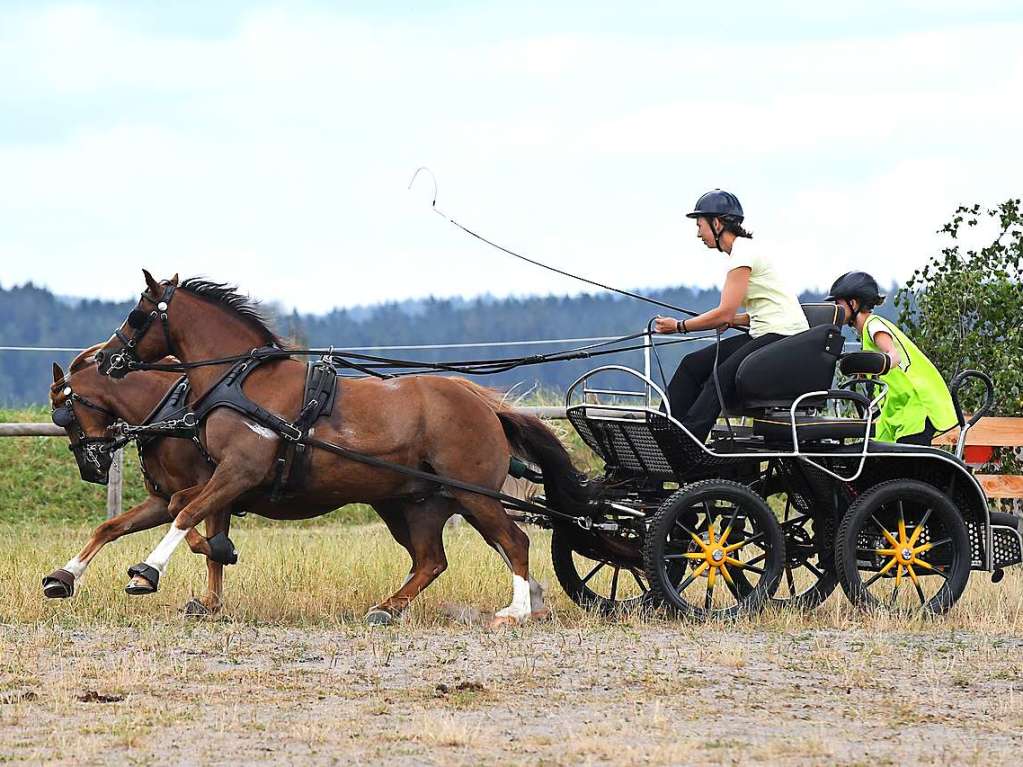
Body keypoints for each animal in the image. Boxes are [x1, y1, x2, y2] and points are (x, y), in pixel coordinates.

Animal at [96, 274, 593, 625]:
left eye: (137, 313)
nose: (106, 357)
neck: (242, 384)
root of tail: (486, 405)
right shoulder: (219, 476)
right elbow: (183, 508)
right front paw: (214, 557)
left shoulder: (240, 470)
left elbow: (185, 512)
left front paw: (146, 573)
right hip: (420, 503)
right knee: (433, 559)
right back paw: (390, 608)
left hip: (473, 494)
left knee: (513, 541)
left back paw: (517, 610)